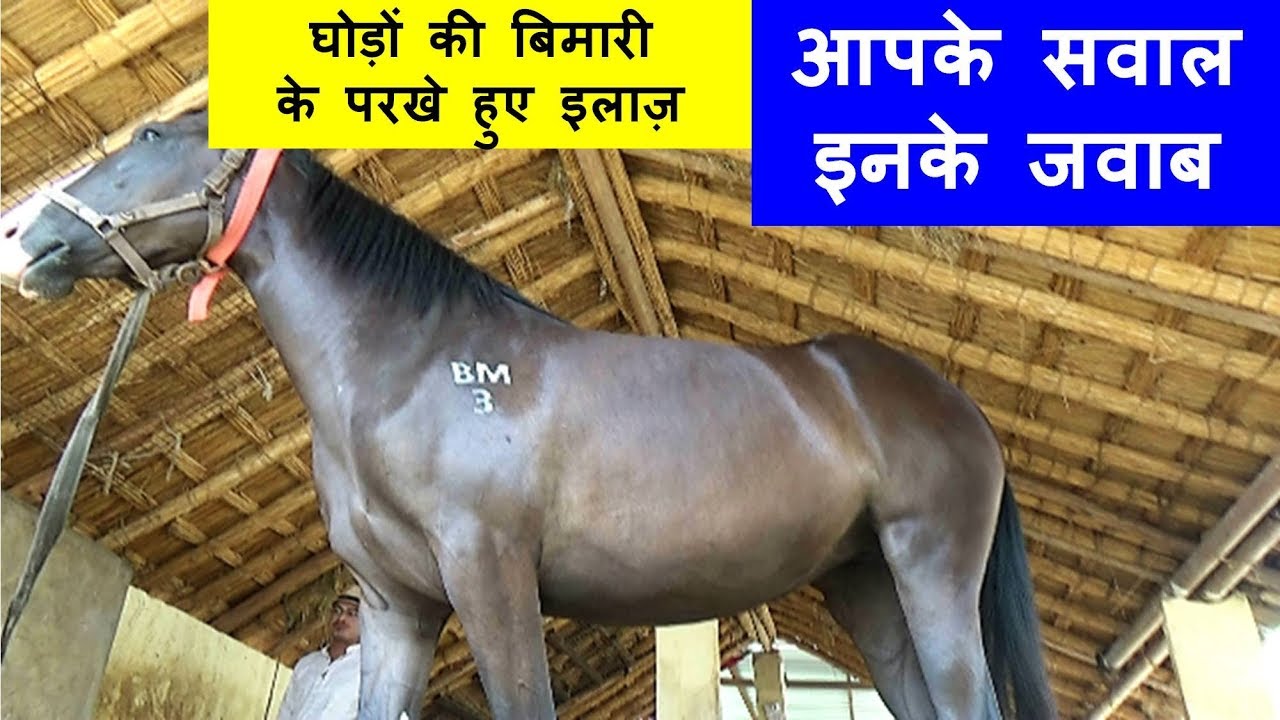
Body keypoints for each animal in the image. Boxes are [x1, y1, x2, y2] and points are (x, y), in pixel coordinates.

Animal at [0, 109, 1056, 720]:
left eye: (148, 139)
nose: (19, 233)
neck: (407, 364)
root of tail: (954, 403)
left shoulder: (492, 573)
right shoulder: (396, 609)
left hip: (930, 572)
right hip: (867, 585)